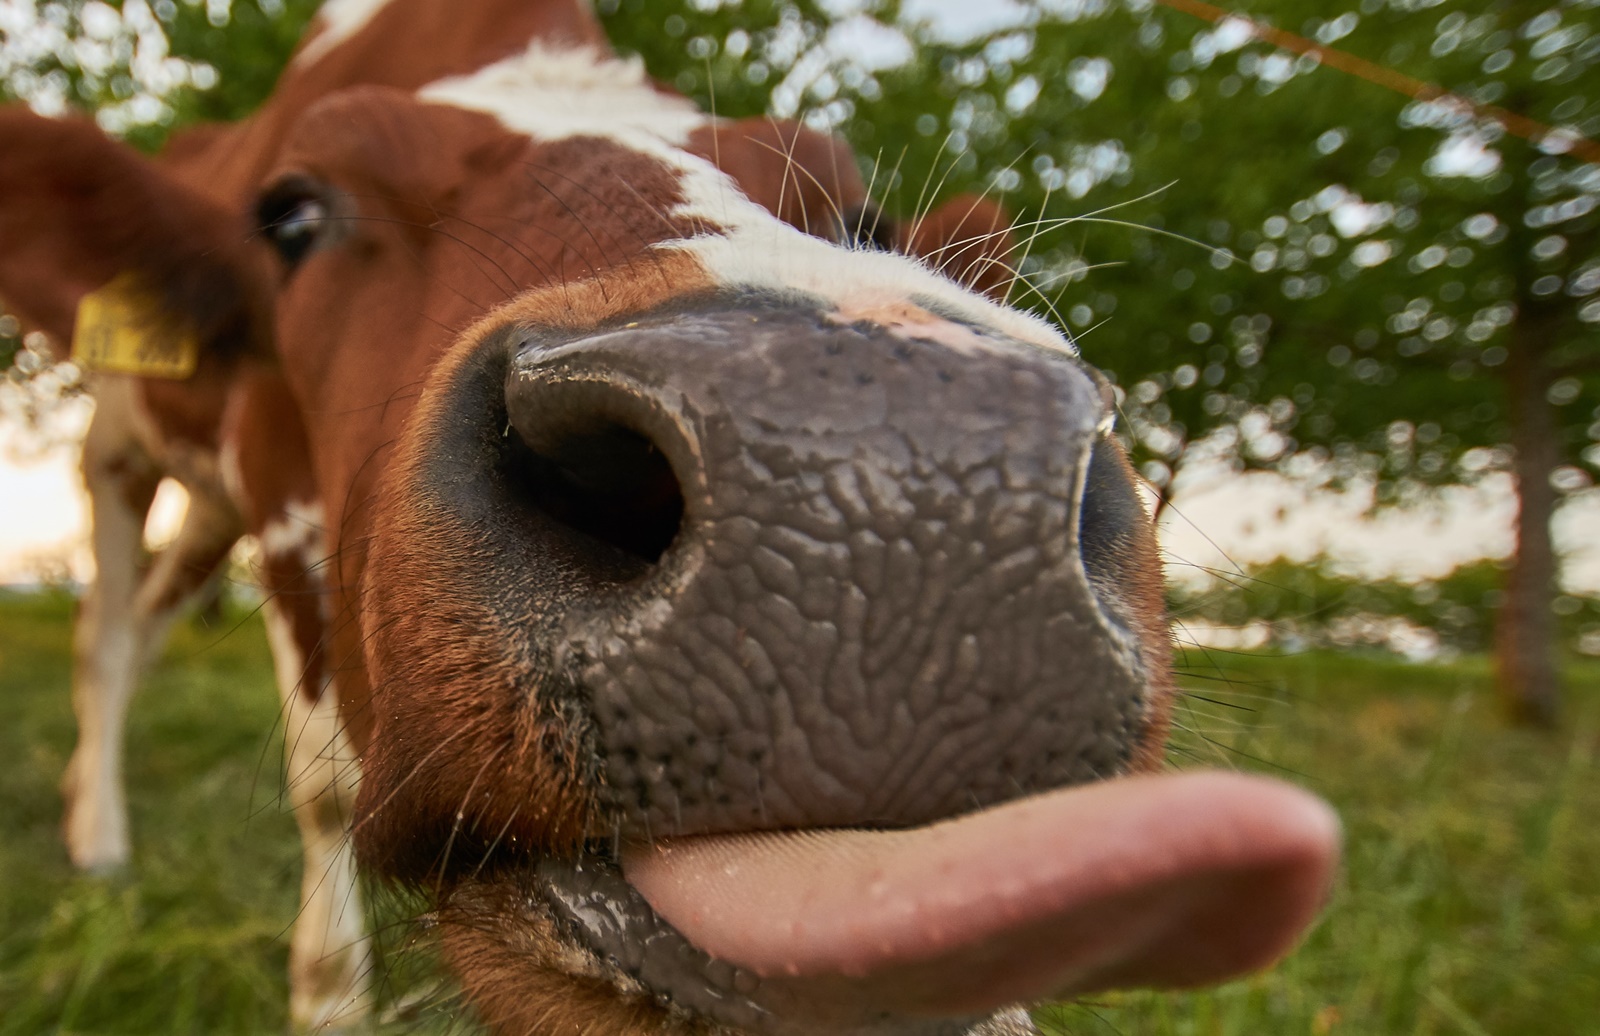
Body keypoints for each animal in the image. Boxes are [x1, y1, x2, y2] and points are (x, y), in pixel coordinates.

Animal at [0, 0, 1344, 1029]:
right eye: (291, 215)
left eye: (859, 215)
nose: (884, 481)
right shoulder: (278, 485)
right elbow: (326, 786)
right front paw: (326, 998)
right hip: (122, 451)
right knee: (108, 632)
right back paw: (99, 837)